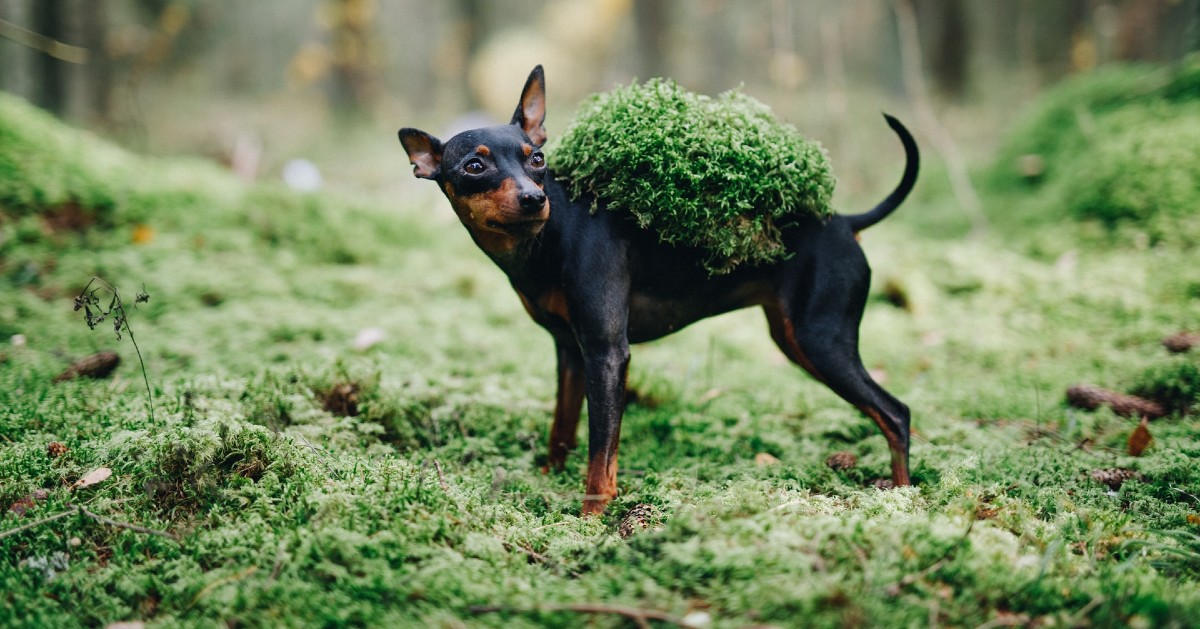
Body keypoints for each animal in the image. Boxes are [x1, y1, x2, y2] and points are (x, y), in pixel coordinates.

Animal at [400, 65, 916, 516]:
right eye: (473, 166)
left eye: (537, 159)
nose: (533, 198)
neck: (546, 238)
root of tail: (846, 222)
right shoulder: (571, 352)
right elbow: (561, 427)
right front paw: (547, 478)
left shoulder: (608, 354)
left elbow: (601, 452)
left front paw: (591, 518)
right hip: (795, 339)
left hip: (819, 340)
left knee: (896, 414)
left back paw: (903, 498)